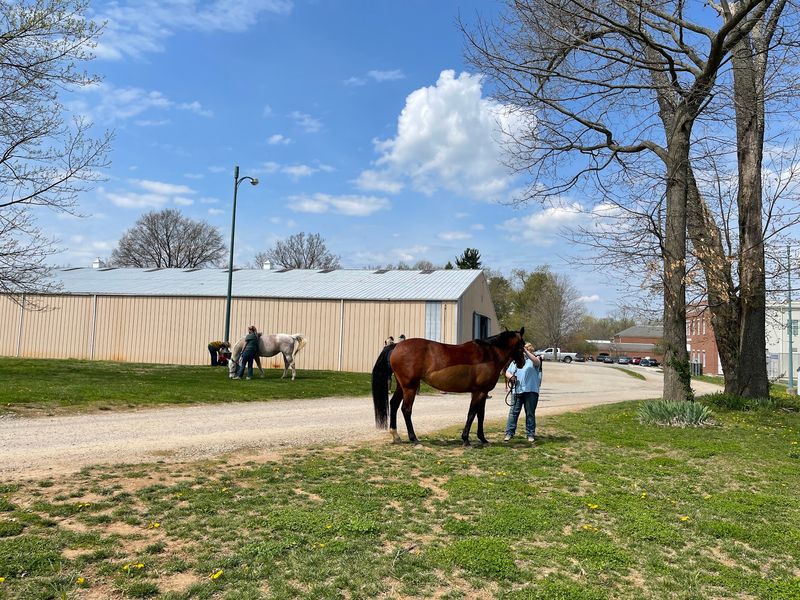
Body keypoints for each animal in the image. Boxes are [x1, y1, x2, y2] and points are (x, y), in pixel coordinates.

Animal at [371, 328, 526, 446]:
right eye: (522, 345)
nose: (522, 363)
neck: (488, 354)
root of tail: (396, 346)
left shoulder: (482, 392)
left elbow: (480, 415)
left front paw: (483, 439)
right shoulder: (479, 392)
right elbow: (472, 414)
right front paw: (466, 439)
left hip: (402, 386)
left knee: (394, 404)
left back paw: (396, 436)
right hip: (410, 387)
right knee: (406, 409)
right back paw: (414, 439)